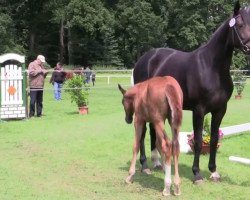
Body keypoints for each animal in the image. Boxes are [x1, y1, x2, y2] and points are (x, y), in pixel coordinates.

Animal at [134, 1, 250, 184]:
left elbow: (214, 139)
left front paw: (213, 172)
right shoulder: (199, 110)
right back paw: (145, 165)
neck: (212, 67)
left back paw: (158, 162)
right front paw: (197, 174)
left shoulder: (220, 110)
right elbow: (197, 141)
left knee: (153, 129)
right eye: (239, 25)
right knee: (143, 130)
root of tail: (145, 59)